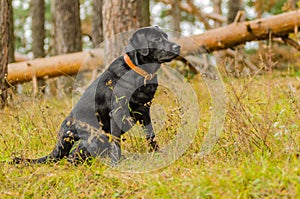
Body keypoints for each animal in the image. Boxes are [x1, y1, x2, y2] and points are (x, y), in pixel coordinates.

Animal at [14, 27, 180, 166]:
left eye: (166, 36)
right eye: (157, 39)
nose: (178, 46)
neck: (139, 72)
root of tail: (63, 133)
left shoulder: (145, 111)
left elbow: (151, 135)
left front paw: (158, 154)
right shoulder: (117, 112)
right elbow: (117, 143)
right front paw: (115, 164)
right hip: (95, 136)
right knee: (72, 157)